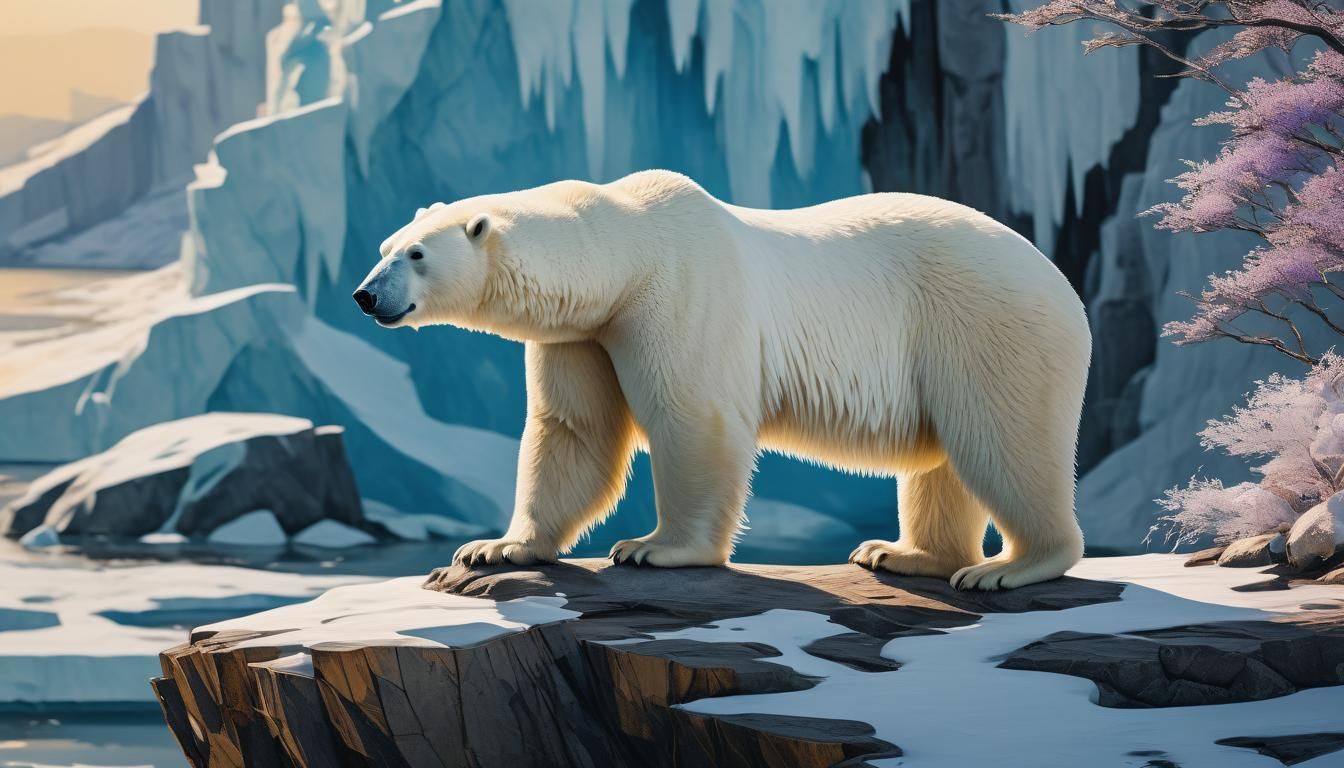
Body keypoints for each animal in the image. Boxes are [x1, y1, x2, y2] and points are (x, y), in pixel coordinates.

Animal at [353, 170, 1090, 590]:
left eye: (416, 255)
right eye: (385, 246)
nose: (365, 295)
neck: (629, 250)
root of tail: (1062, 284)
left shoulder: (680, 295)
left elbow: (693, 421)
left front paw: (652, 548)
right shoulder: (584, 334)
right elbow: (574, 430)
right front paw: (496, 547)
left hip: (987, 323)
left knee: (1001, 441)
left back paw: (1009, 567)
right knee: (944, 458)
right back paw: (900, 554)